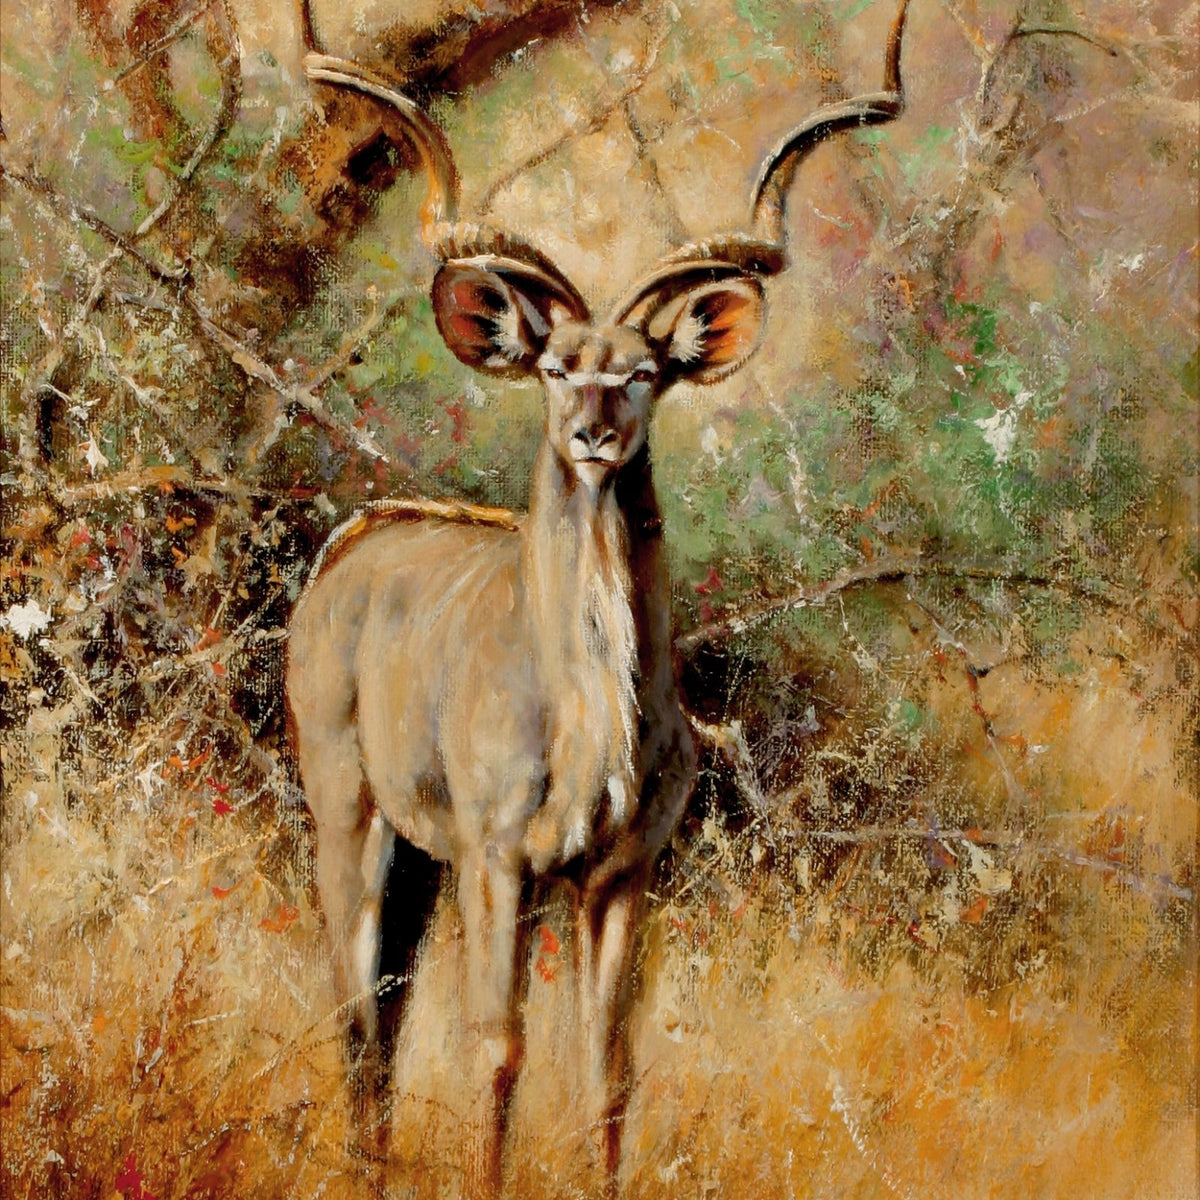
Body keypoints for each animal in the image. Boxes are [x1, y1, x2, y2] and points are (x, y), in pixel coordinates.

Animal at [286, 4, 907, 1194]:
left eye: (643, 373)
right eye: (556, 366)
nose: (591, 434)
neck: (589, 715)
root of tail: (351, 544)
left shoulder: (619, 875)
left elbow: (608, 1069)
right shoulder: (500, 859)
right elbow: (497, 1049)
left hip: (418, 862)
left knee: (386, 1006)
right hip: (350, 809)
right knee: (355, 1012)